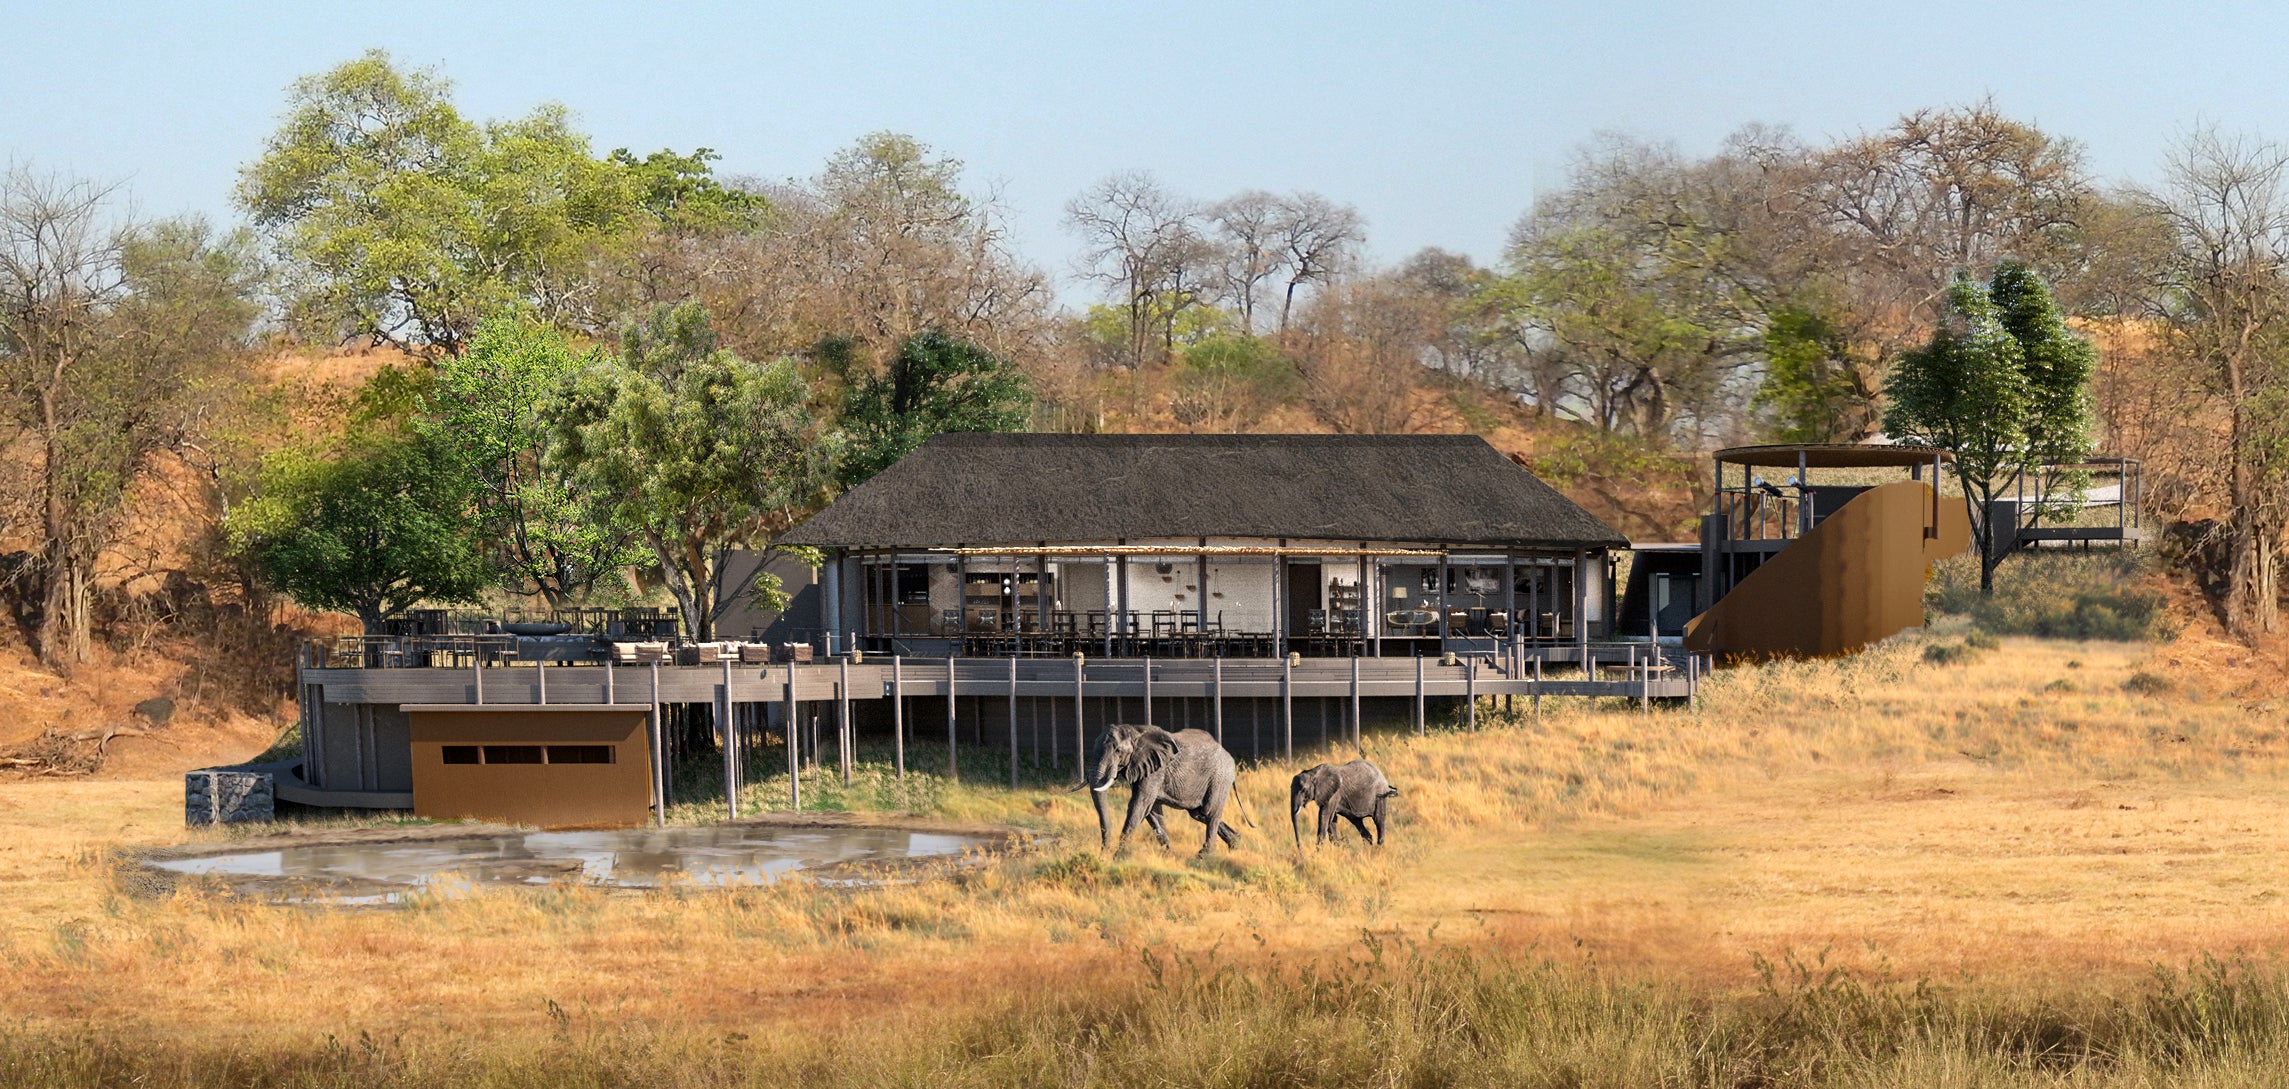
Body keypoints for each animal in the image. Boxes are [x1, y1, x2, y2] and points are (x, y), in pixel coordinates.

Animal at [1084, 727, 1236, 855]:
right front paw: (1170, 855)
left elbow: (1140, 804)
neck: (1135, 731)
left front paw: (1118, 857)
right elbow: (1151, 810)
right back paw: (1235, 843)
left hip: (1220, 778)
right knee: (1198, 813)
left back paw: (1205, 856)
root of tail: (1228, 754)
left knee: (1210, 811)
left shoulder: (1156, 770)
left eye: (1118, 751)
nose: (1102, 855)